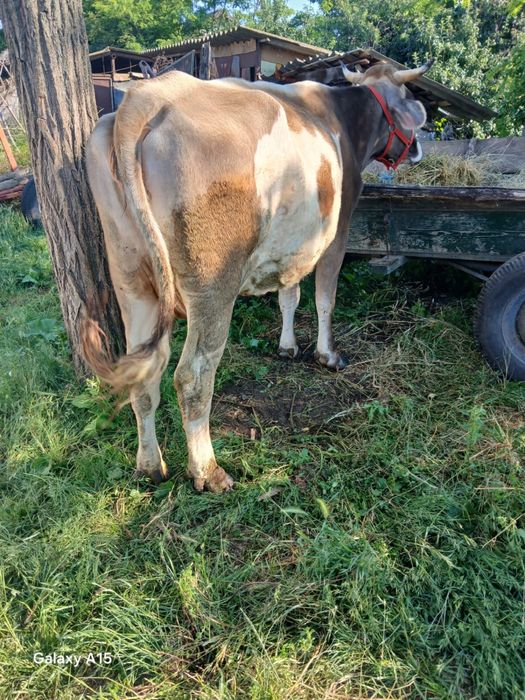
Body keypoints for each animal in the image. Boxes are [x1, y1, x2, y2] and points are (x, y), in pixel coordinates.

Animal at [82, 60, 433, 492]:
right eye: (407, 99)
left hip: (131, 278)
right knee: (192, 376)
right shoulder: (338, 230)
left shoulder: (295, 244)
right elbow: (325, 297)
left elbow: (289, 295)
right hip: (213, 285)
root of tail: (147, 96)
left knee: (144, 375)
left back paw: (150, 466)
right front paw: (327, 354)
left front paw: (287, 346)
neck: (344, 118)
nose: (418, 147)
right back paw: (208, 471)